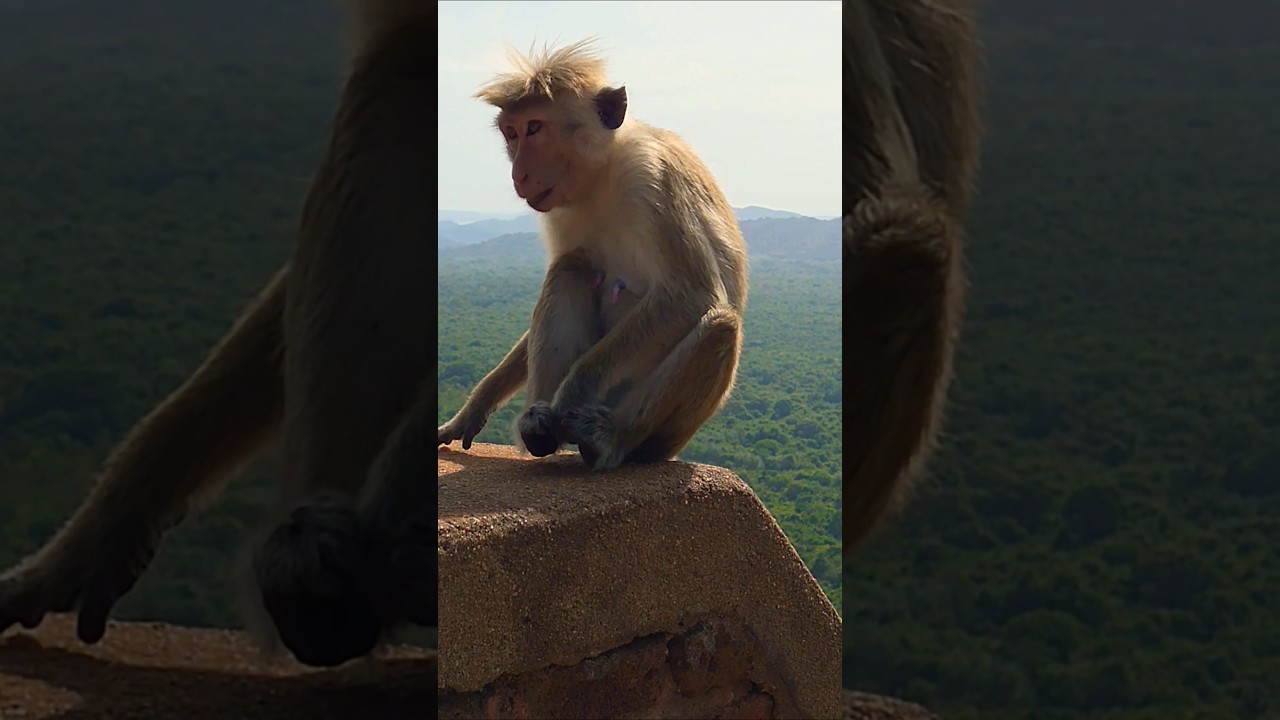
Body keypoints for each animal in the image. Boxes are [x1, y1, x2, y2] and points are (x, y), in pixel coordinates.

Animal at [435, 40, 749, 474]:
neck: (601, 174)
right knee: (571, 267)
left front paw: (568, 396)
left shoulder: (652, 178)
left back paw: (610, 439)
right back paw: (538, 427)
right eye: (511, 133)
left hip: (655, 428)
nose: (518, 174)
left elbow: (690, 294)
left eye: (535, 128)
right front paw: (475, 407)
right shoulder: (560, 211)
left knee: (720, 327)